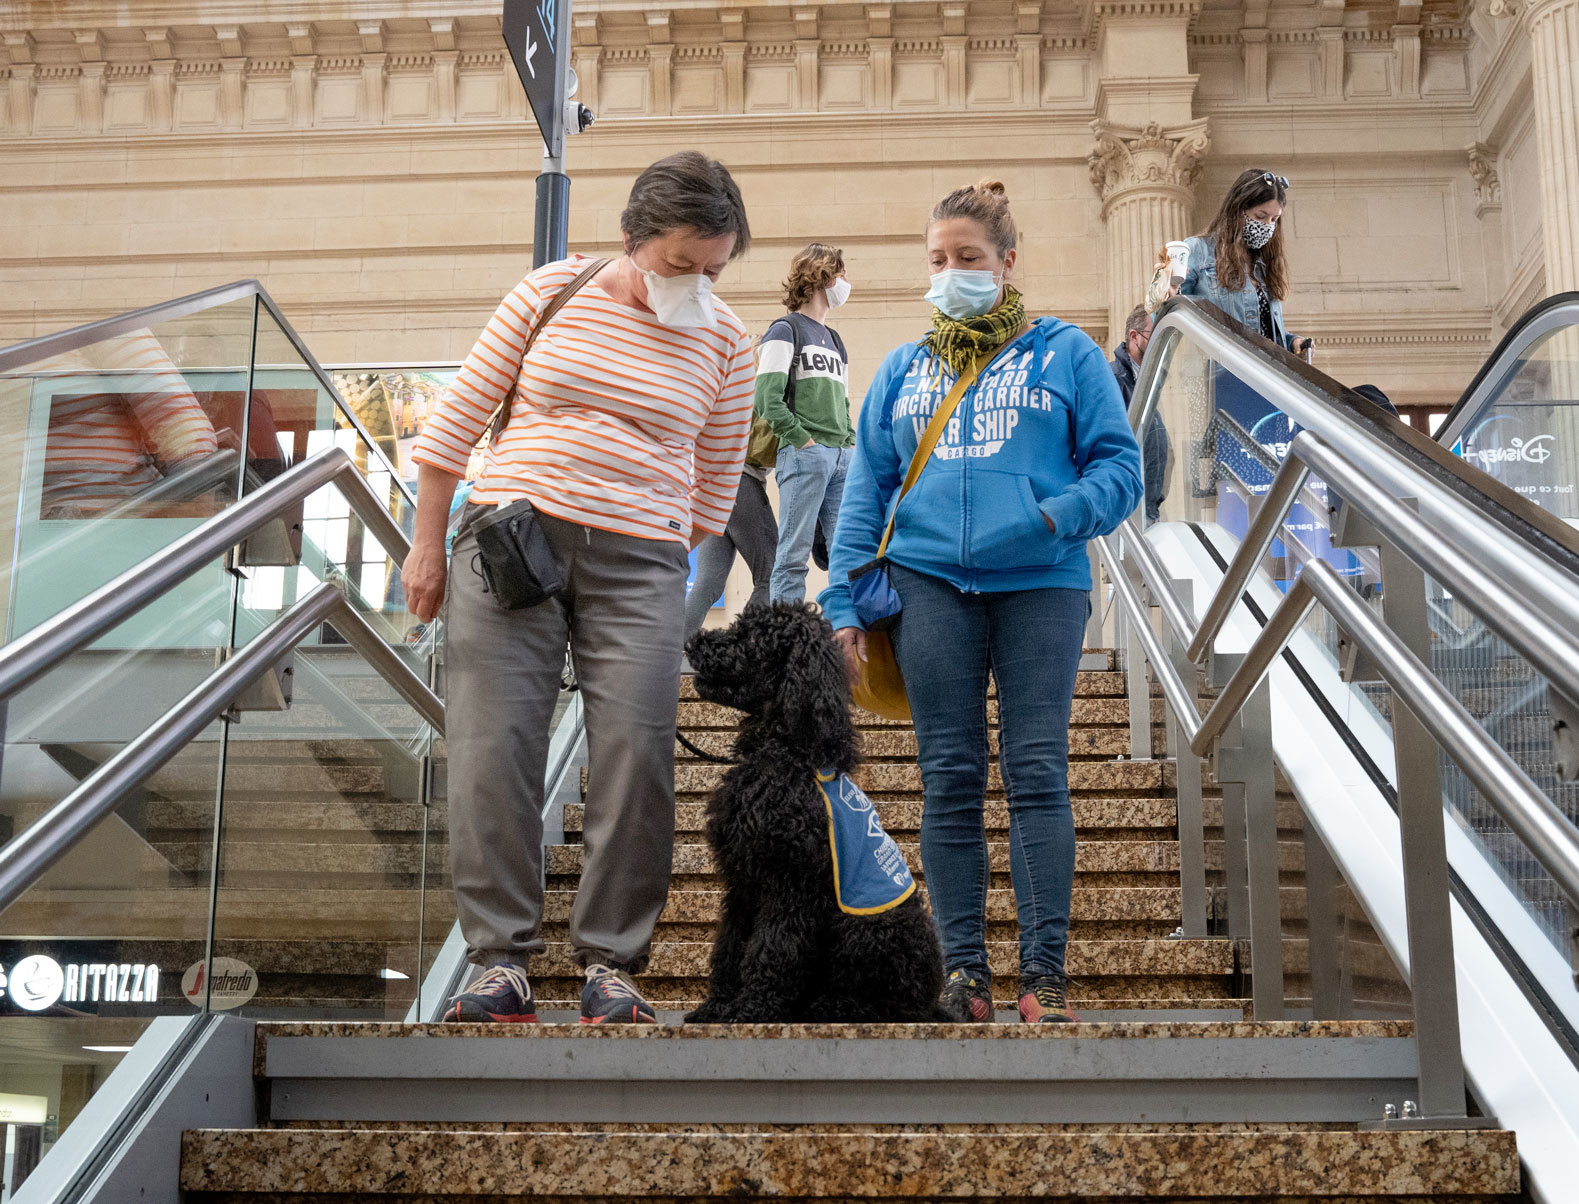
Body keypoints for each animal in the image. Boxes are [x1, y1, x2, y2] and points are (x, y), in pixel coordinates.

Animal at [685, 605, 941, 1022]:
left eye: (753, 638)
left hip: (865, 929)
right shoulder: (742, 879)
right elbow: (730, 943)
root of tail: (930, 1001)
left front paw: (752, 1007)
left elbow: (771, 948)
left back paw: (830, 1007)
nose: (692, 641)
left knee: (881, 1003)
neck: (786, 753)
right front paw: (717, 1005)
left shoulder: (789, 884)